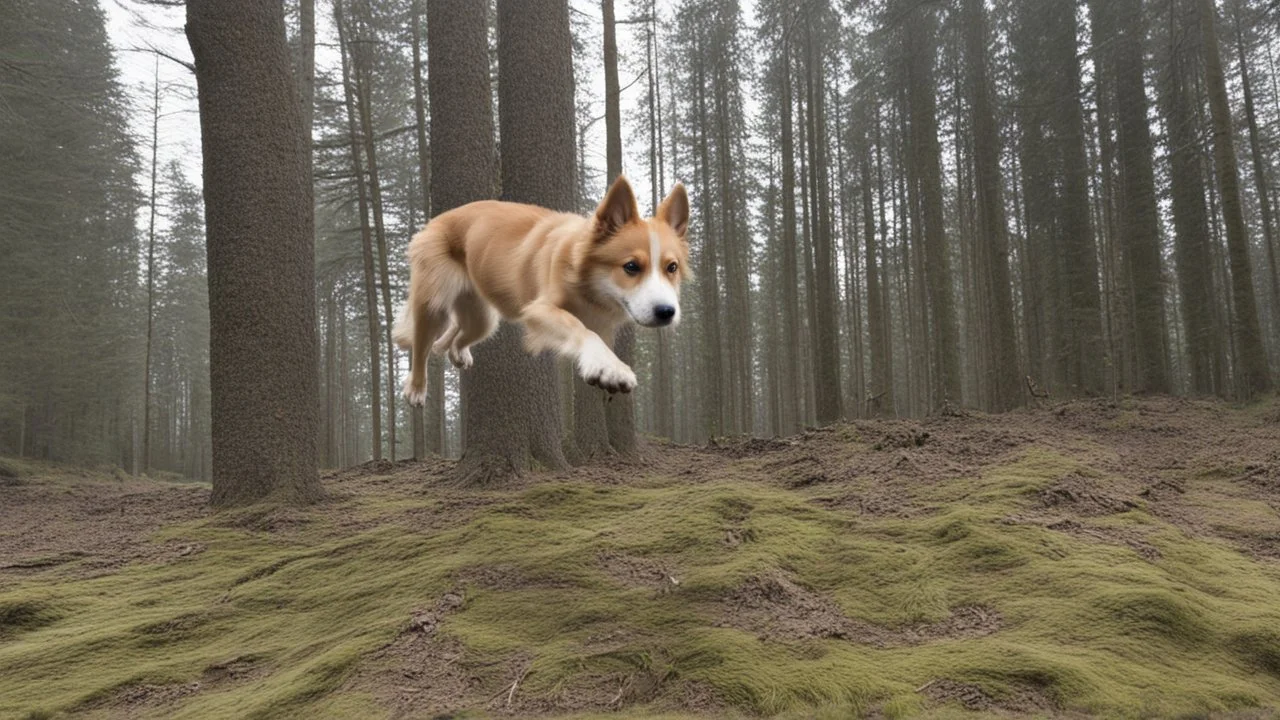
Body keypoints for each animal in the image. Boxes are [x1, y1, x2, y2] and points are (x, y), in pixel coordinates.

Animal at [391, 170, 691, 399]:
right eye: (631, 267)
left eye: (672, 268)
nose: (667, 312)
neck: (587, 285)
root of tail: (436, 219)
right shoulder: (539, 310)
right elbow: (581, 330)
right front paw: (610, 368)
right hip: (433, 301)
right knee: (421, 344)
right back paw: (416, 388)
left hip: (482, 318)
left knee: (457, 334)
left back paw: (457, 352)